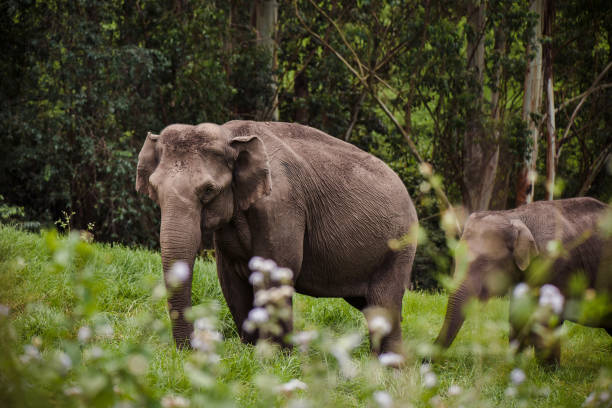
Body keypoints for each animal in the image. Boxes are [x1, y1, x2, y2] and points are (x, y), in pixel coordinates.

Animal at [136, 119, 418, 352]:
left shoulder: (281, 206)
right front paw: (250, 350)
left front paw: (276, 357)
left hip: (399, 248)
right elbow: (231, 278)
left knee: (384, 304)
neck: (231, 134)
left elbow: (276, 271)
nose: (189, 350)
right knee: (370, 307)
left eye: (208, 190)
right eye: (155, 188)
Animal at [436, 197, 612, 364]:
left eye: (484, 262)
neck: (514, 215)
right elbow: (518, 313)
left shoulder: (555, 265)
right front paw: (515, 364)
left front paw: (548, 371)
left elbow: (546, 318)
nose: (430, 362)